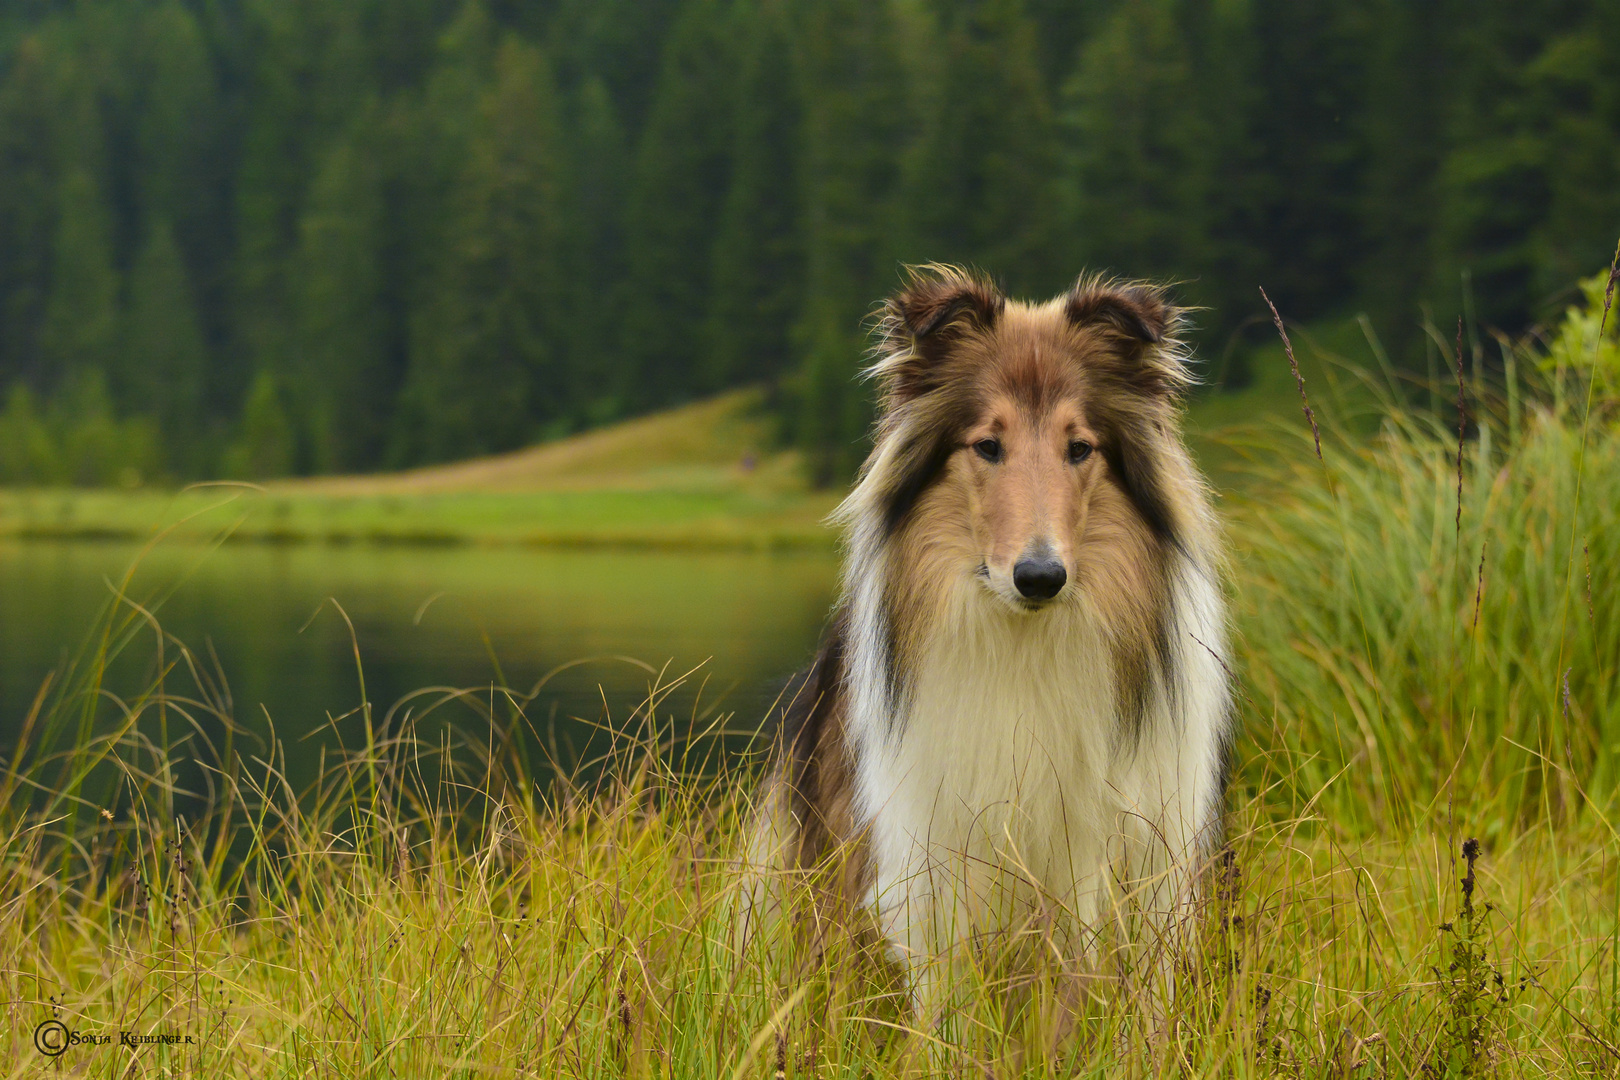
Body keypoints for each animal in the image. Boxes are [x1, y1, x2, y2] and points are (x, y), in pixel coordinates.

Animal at [745, 263, 1224, 1016]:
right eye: (987, 445)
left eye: (1079, 448)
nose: (1040, 577)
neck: (1027, 644)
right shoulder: (935, 875)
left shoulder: (1140, 873)